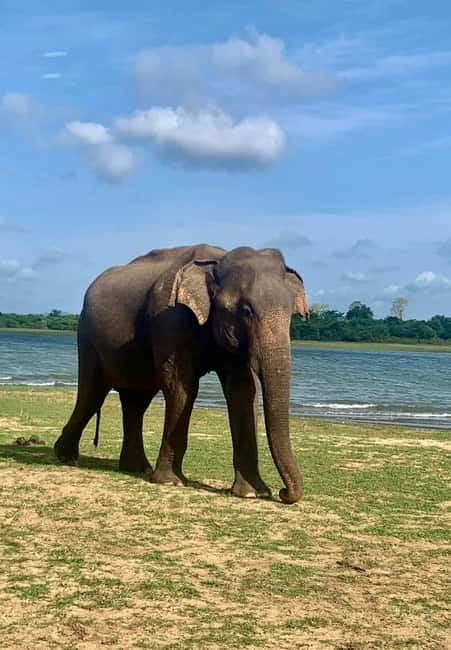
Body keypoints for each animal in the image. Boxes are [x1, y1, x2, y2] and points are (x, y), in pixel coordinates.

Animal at [54, 244, 309, 504]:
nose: (283, 493)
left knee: (135, 402)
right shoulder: (170, 319)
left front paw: (252, 493)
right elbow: (182, 386)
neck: (217, 261)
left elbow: (243, 391)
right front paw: (171, 482)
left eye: (290, 314)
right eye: (246, 311)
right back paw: (66, 457)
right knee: (92, 393)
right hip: (87, 337)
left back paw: (136, 468)